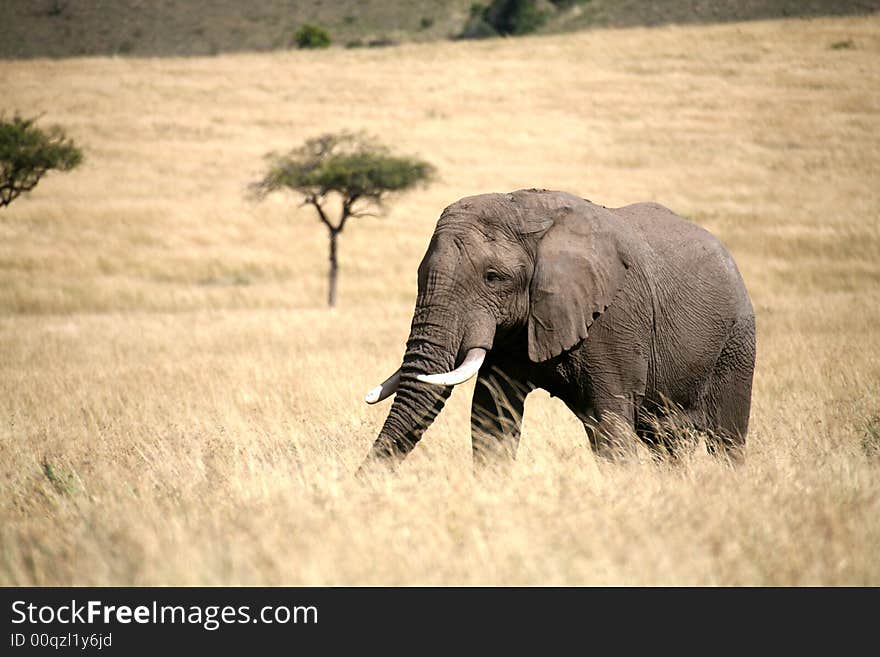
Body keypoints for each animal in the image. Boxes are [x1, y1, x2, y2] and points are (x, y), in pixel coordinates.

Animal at [360, 187, 756, 468]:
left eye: (493, 277)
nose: (361, 482)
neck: (527, 214)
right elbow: (491, 418)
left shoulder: (615, 317)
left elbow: (610, 425)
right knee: (666, 442)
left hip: (737, 341)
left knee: (726, 438)